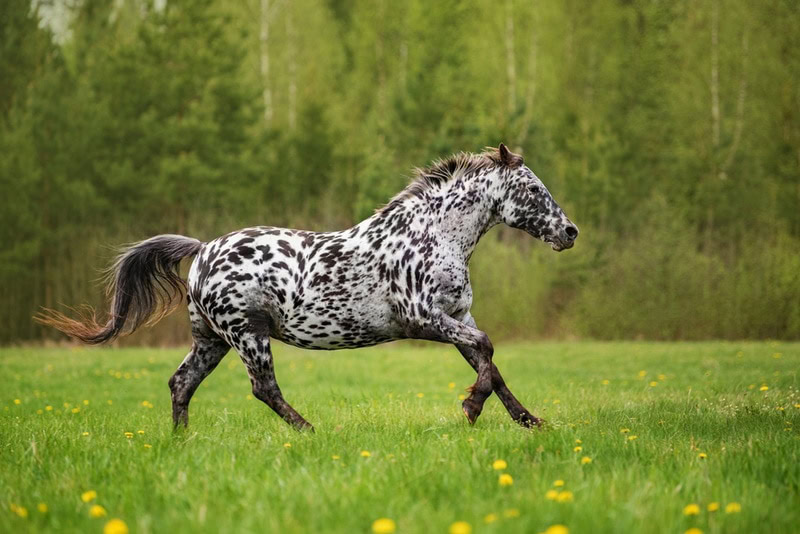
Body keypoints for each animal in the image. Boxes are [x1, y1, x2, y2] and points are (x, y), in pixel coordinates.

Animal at [37, 144, 579, 431]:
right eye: (533, 189)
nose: (569, 232)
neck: (433, 236)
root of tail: (203, 249)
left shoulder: (457, 317)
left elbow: (491, 363)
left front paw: (528, 421)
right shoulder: (424, 319)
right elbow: (488, 351)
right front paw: (469, 409)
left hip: (211, 340)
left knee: (180, 383)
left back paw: (180, 443)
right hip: (248, 335)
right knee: (263, 388)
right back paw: (309, 430)